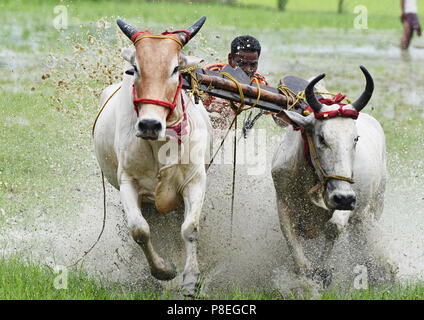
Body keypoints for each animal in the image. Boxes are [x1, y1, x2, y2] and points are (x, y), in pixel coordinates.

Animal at [93, 16, 212, 298]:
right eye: (135, 68)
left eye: (175, 69)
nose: (149, 125)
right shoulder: (127, 182)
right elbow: (139, 230)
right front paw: (164, 270)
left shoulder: (195, 180)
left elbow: (190, 228)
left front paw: (191, 279)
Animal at [272, 66, 398, 288]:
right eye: (322, 138)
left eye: (355, 138)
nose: (343, 198)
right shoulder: (283, 203)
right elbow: (295, 247)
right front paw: (305, 281)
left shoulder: (349, 203)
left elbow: (333, 228)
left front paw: (323, 271)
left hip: (375, 205)